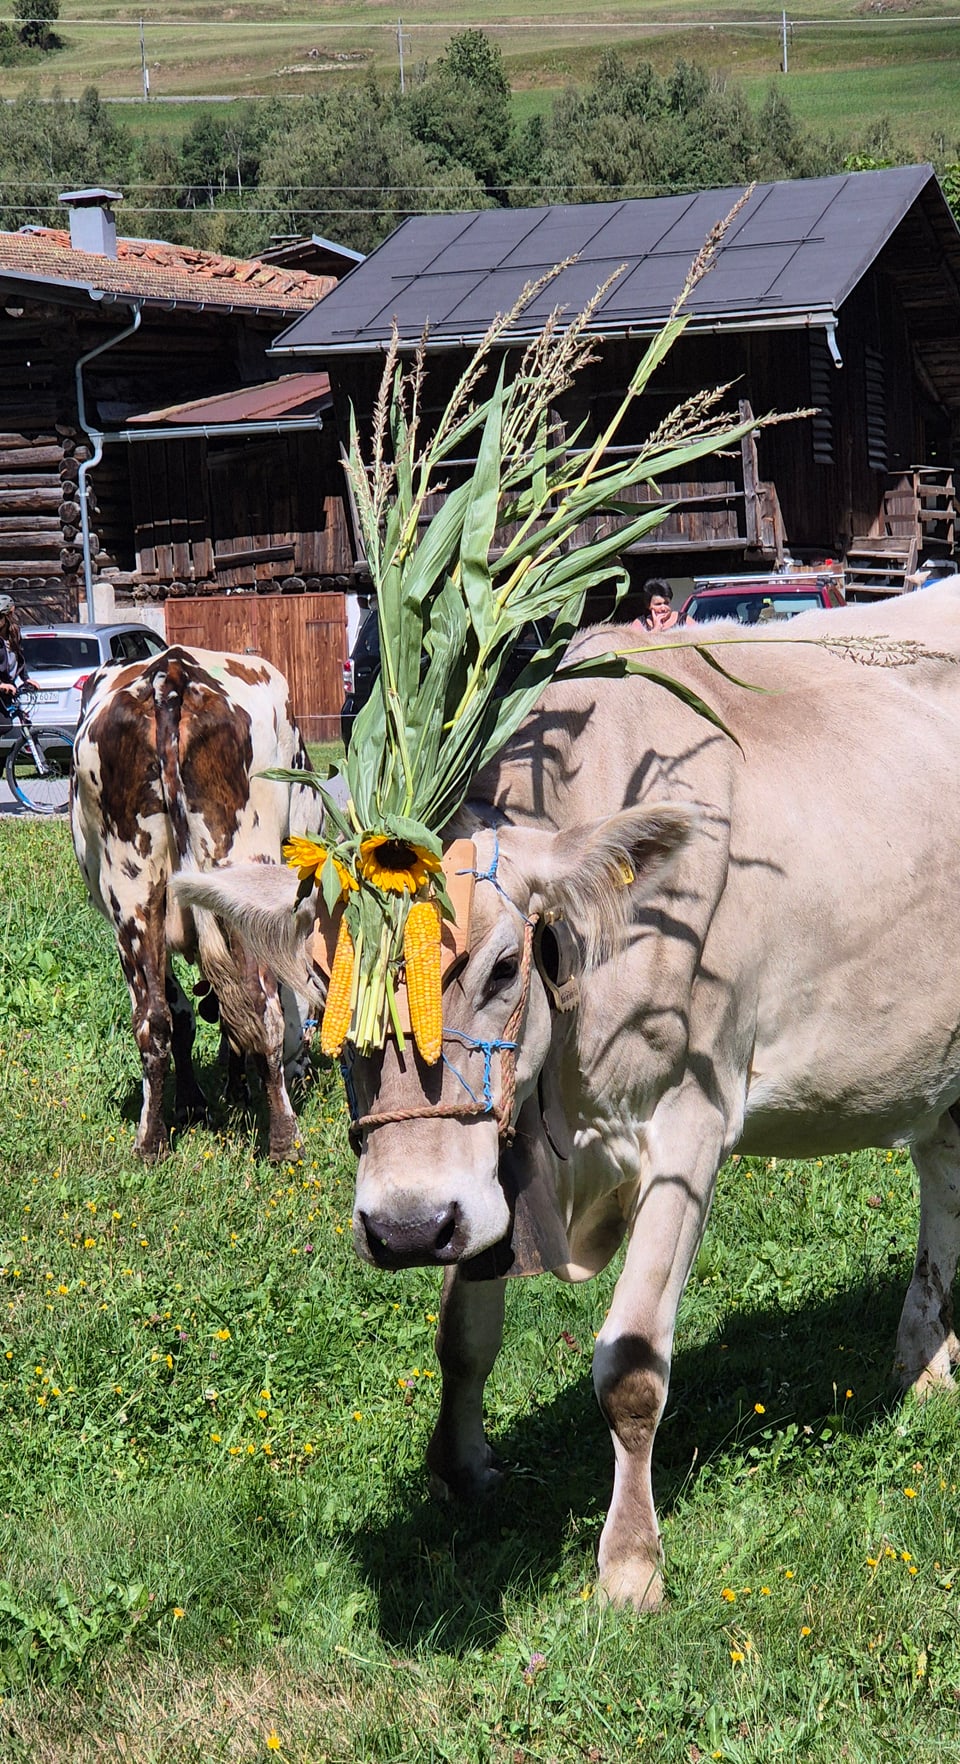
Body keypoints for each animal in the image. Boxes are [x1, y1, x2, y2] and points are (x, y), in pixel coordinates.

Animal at [176, 585, 960, 1608]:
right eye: (321, 981)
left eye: (506, 966)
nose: (403, 1228)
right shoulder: (490, 1156)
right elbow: (462, 1334)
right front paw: (461, 1467)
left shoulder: (690, 1121)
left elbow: (630, 1364)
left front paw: (629, 1564)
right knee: (942, 1172)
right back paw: (925, 1363)